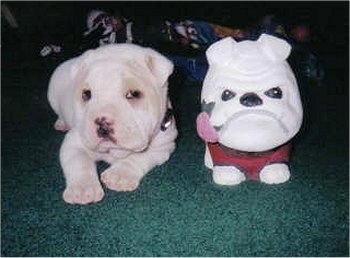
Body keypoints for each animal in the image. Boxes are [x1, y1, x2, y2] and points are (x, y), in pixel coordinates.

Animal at [47, 43, 178, 205]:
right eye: (86, 94)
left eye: (133, 94)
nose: (102, 122)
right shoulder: (75, 142)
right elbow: (79, 163)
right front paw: (83, 189)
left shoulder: (163, 146)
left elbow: (138, 158)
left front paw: (119, 175)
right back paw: (61, 123)